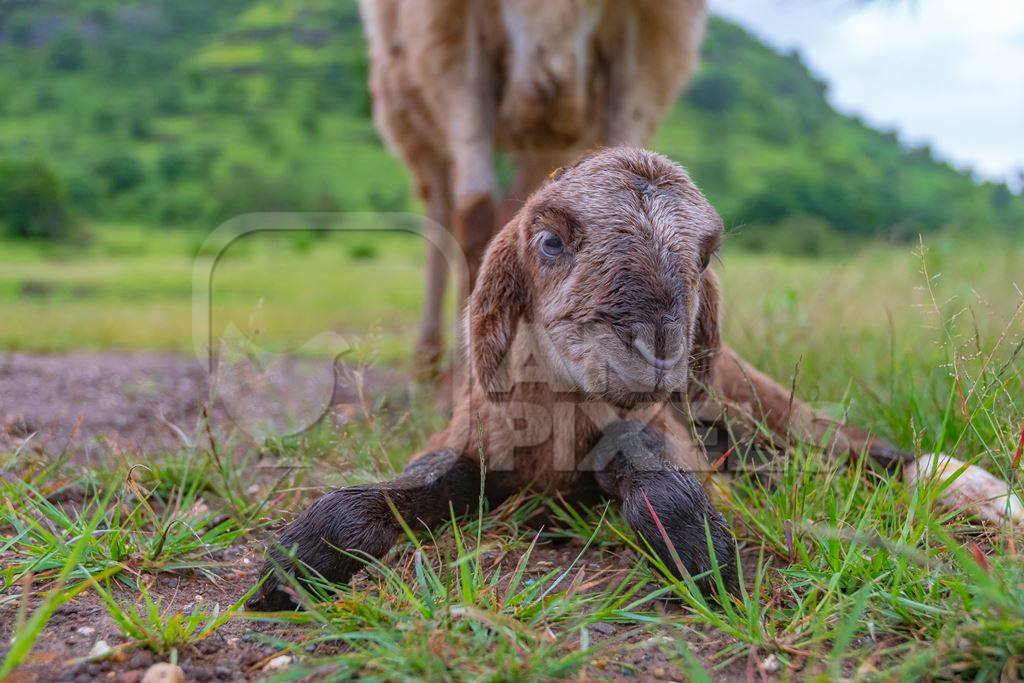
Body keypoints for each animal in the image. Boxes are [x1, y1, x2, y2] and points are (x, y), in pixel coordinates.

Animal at [245, 147, 937, 610]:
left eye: (705, 256)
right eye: (549, 242)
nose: (656, 350)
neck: (558, 418)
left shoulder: (656, 427)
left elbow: (654, 469)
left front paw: (707, 564)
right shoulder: (475, 435)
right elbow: (417, 482)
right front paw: (293, 567)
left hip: (762, 403)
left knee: (846, 443)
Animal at [356, 0, 708, 368]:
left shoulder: (655, 36)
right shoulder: (444, 31)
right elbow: (475, 220)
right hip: (407, 110)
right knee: (440, 209)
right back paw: (430, 357)